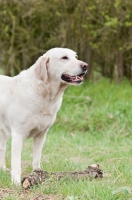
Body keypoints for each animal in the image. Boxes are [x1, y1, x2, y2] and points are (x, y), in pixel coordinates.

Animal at [0, 47, 87, 184]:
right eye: (64, 57)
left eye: (76, 57)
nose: (85, 66)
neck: (45, 93)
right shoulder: (18, 135)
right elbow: (16, 163)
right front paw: (16, 182)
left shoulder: (41, 134)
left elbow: (36, 158)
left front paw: (37, 174)